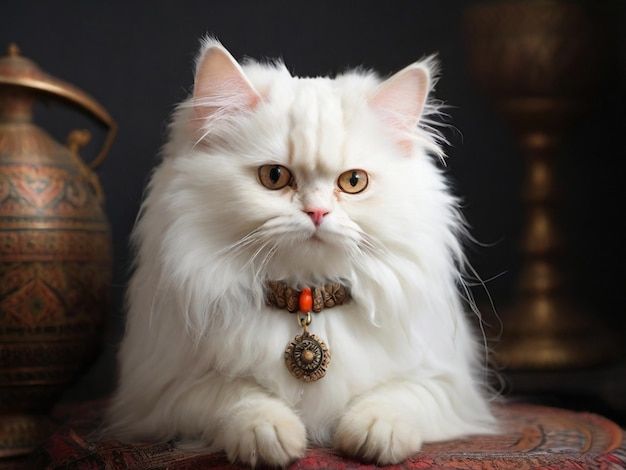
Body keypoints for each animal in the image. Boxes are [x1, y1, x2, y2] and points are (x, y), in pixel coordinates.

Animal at [105, 37, 494, 466]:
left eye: (353, 182)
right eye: (274, 177)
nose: (317, 212)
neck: (307, 297)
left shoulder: (446, 385)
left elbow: (396, 397)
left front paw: (375, 434)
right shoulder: (164, 393)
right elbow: (239, 397)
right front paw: (271, 437)